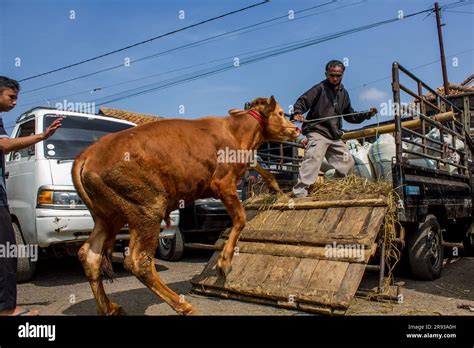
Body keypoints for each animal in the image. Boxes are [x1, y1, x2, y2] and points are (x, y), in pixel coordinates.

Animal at [71, 95, 300, 316]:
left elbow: (258, 166)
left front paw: (275, 187)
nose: (296, 129)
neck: (236, 132)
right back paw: (184, 306)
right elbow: (240, 219)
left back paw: (109, 307)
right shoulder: (222, 183)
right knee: (138, 261)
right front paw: (224, 262)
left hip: (109, 217)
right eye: (281, 113)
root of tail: (88, 154)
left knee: (89, 255)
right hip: (146, 210)